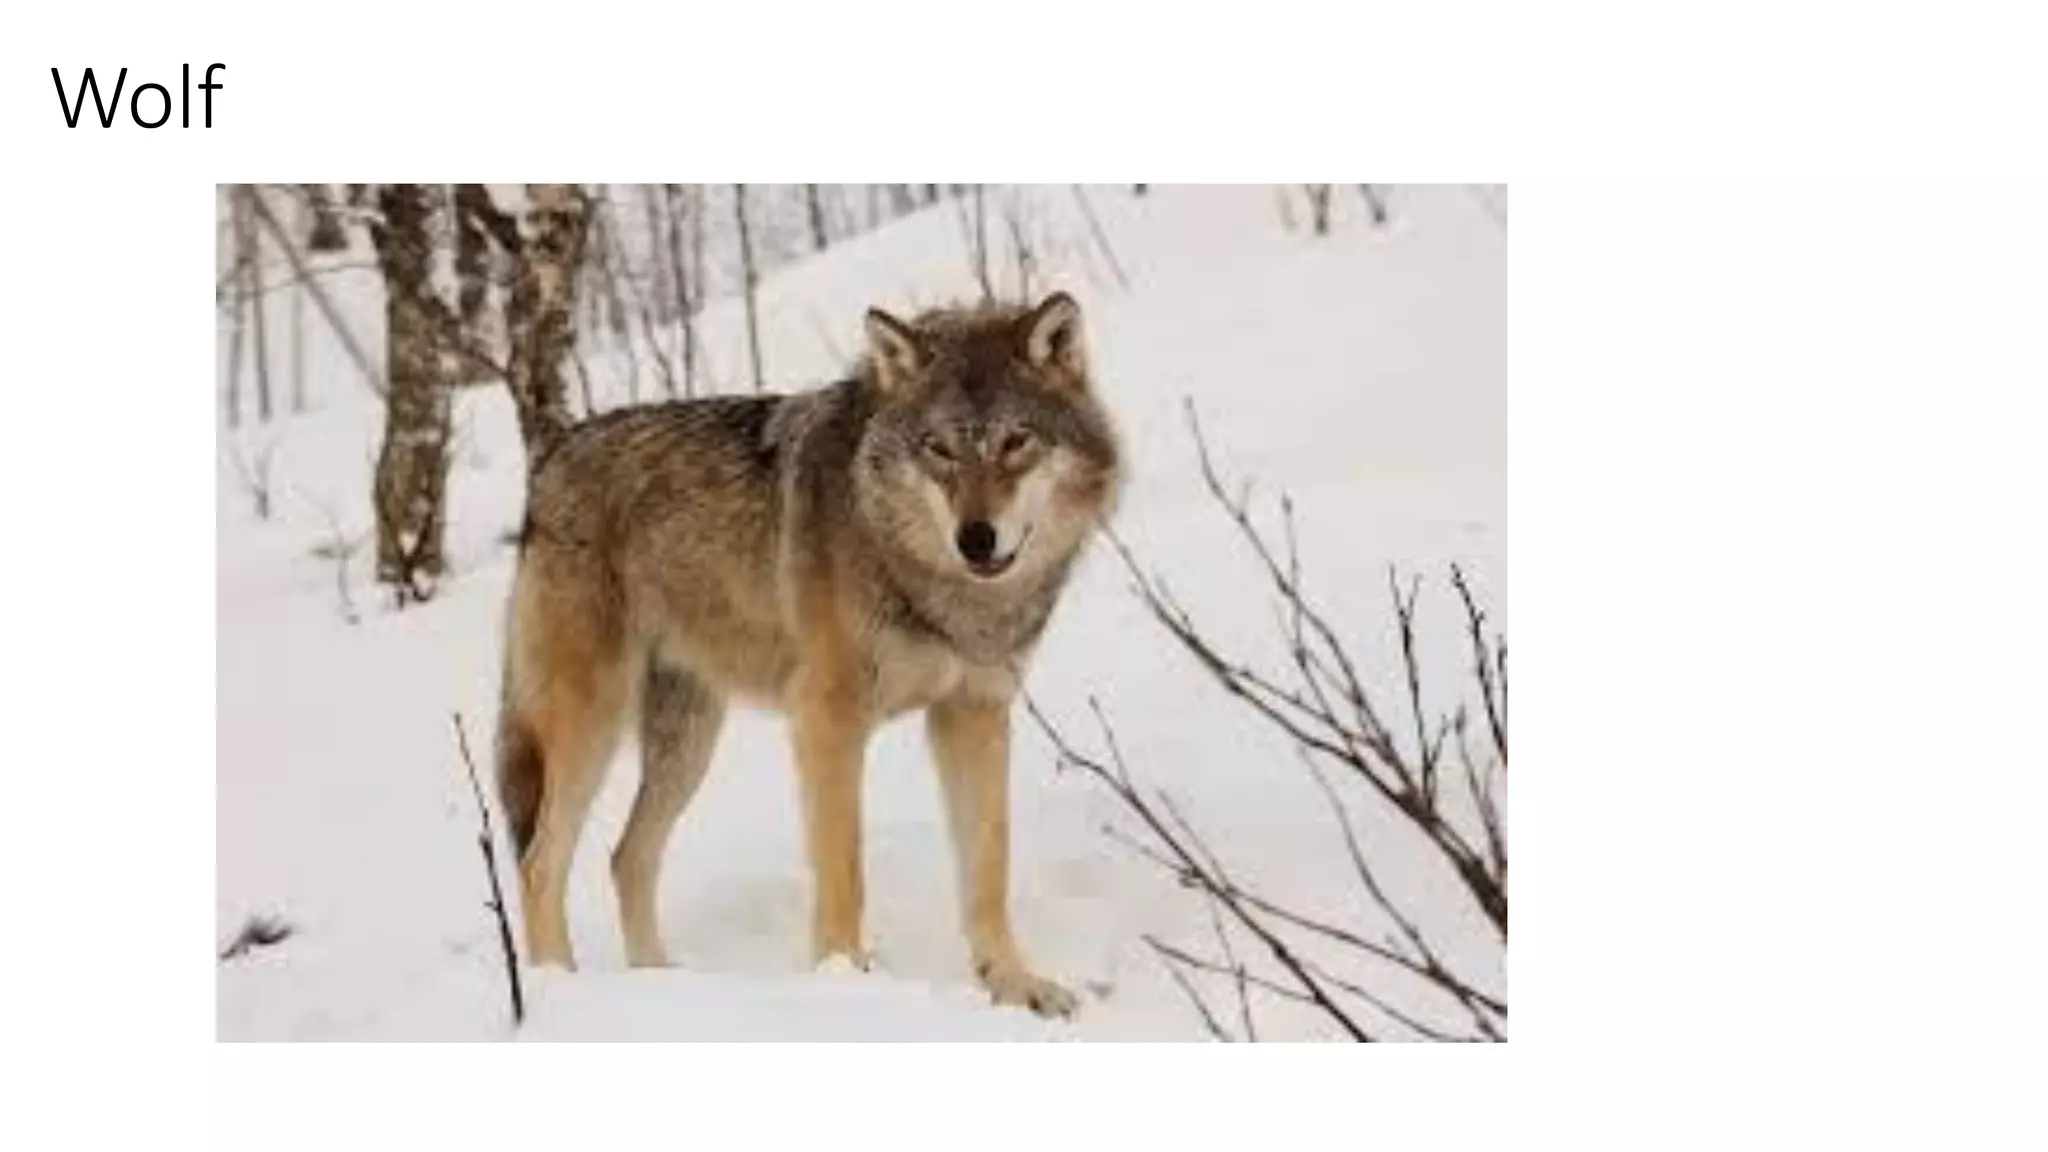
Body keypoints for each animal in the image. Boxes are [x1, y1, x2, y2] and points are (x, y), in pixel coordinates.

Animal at [494, 291, 1123, 1017]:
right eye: (938, 449)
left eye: (1016, 442)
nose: (976, 538)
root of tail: (550, 458)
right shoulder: (827, 719)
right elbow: (844, 869)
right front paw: (847, 983)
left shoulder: (974, 713)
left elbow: (989, 868)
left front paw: (1014, 985)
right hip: (591, 727)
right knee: (540, 863)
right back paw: (556, 990)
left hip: (687, 742)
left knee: (627, 857)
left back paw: (661, 984)